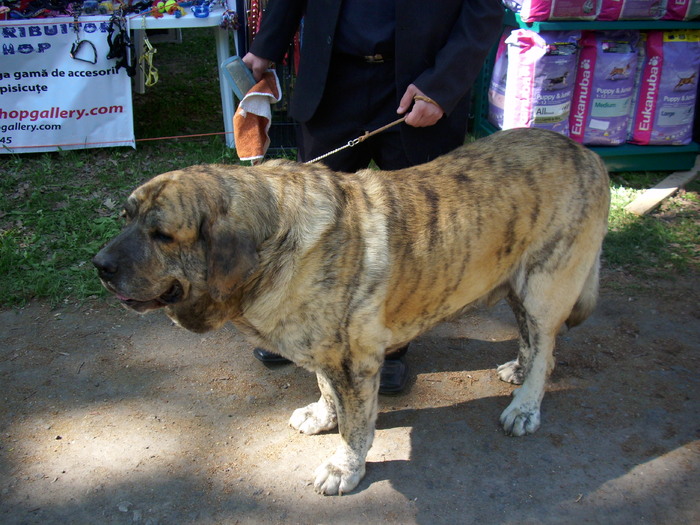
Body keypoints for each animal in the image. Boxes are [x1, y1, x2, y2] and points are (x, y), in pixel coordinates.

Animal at [94, 128, 612, 496]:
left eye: (162, 235)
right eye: (125, 217)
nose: (99, 266)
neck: (277, 240)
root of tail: (587, 154)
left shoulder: (355, 361)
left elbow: (357, 423)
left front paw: (345, 467)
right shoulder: (327, 352)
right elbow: (327, 390)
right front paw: (322, 416)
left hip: (546, 284)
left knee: (547, 351)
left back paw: (525, 405)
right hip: (517, 284)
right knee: (530, 339)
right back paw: (519, 369)